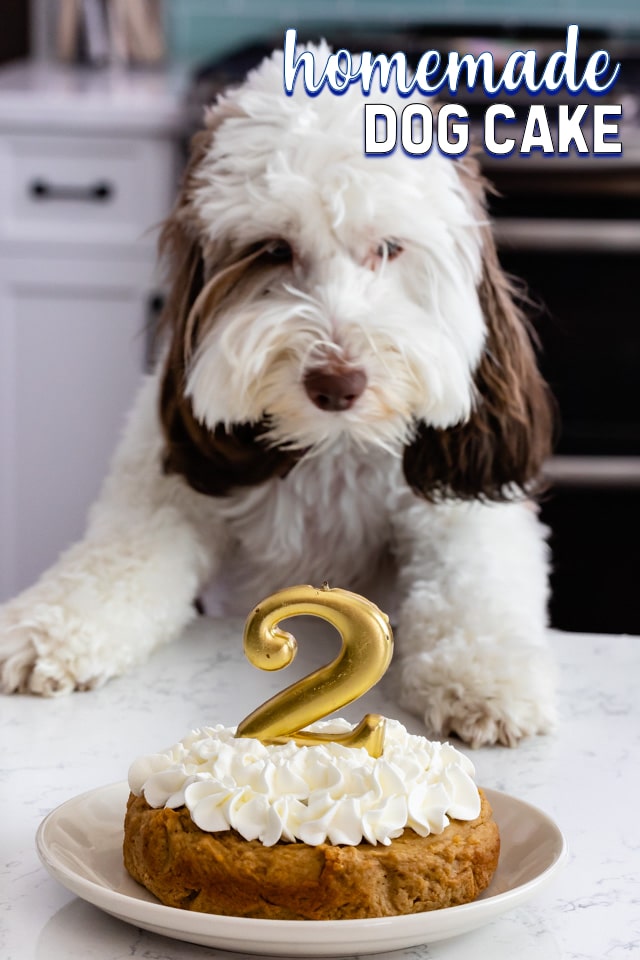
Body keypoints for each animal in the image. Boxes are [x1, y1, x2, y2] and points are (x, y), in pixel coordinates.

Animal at [0, 47, 556, 752]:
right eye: (272, 250)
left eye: (388, 249)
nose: (336, 384)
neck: (328, 447)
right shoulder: (161, 497)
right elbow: (112, 563)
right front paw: (44, 631)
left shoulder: (456, 507)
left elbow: (475, 585)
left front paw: (487, 679)